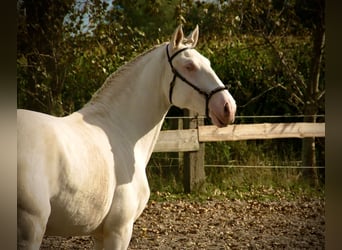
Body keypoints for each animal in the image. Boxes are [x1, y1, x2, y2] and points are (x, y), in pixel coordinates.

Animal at [17, 25, 236, 250]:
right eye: (189, 66)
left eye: (208, 62)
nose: (228, 107)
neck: (120, 129)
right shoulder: (119, 230)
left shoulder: (100, 235)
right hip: (32, 227)